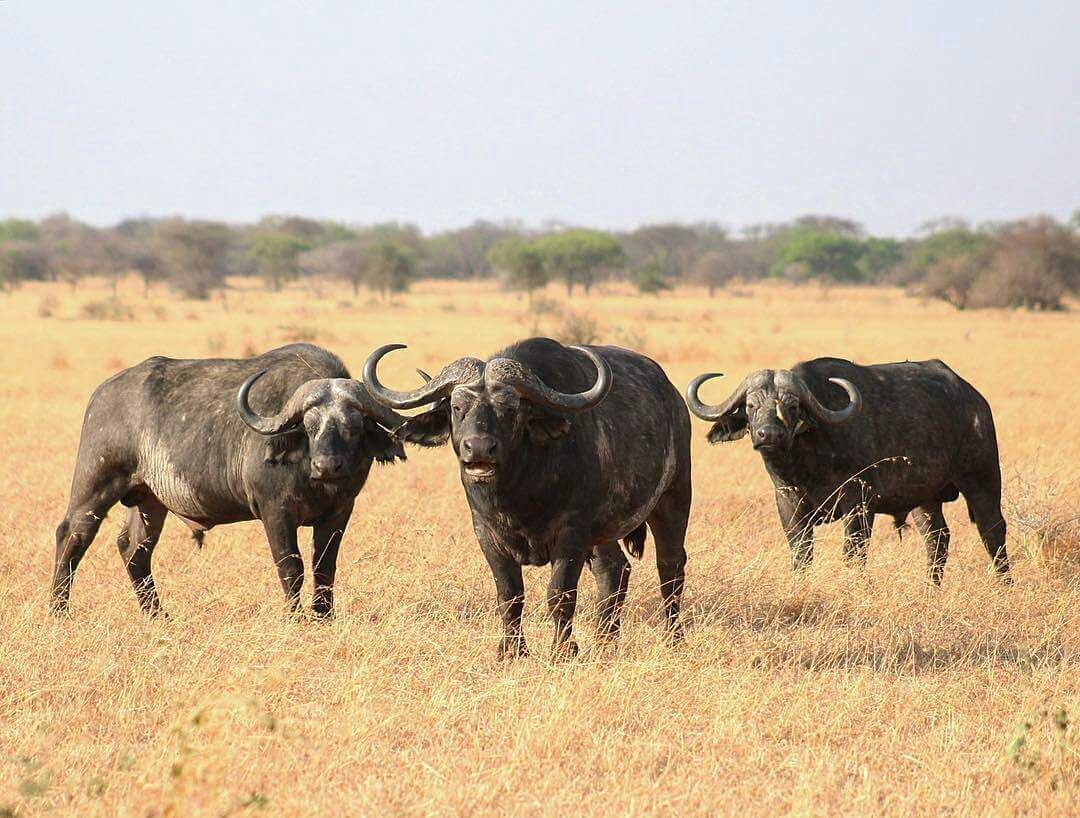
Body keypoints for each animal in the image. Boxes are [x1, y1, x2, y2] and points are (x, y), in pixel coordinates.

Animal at [52, 343, 407, 616]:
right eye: (309, 426)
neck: (311, 476)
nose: (328, 465)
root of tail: (102, 394)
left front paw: (323, 617)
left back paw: (157, 615)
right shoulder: (275, 511)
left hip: (150, 501)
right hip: (96, 485)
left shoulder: (339, 512)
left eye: (354, 426)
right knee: (72, 535)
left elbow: (324, 567)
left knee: (133, 548)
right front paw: (296, 619)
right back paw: (59, 611)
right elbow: (291, 567)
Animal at [363, 337, 692, 658]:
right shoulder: (486, 533)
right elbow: (509, 595)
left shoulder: (572, 533)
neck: (519, 493)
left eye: (510, 408)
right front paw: (512, 651)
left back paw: (674, 639)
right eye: (457, 407)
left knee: (670, 567)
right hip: (603, 533)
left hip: (673, 498)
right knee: (614, 570)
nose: (479, 448)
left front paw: (563, 651)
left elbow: (560, 593)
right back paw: (604, 643)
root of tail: (674, 399)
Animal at [686, 357, 1009, 583]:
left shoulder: (859, 504)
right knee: (937, 538)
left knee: (993, 531)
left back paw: (1003, 583)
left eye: (792, 407)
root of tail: (974, 400)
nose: (769, 435)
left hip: (983, 481)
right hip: (925, 499)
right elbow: (801, 554)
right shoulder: (789, 504)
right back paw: (931, 587)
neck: (807, 464)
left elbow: (854, 554)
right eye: (751, 405)